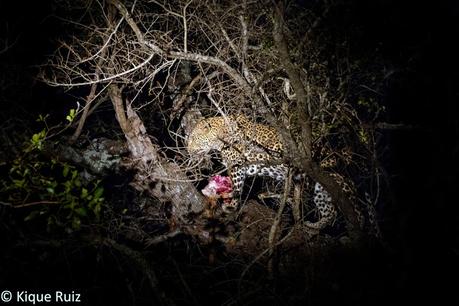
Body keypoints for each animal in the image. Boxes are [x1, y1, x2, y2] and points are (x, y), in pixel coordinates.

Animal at [187, 113, 378, 233]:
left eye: (195, 138)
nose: (188, 150)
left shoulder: (240, 164)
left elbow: (237, 184)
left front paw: (231, 205)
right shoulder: (245, 167)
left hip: (338, 184)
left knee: (358, 213)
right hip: (320, 189)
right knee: (331, 212)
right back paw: (313, 225)